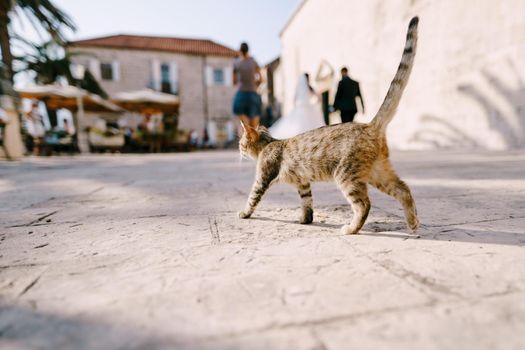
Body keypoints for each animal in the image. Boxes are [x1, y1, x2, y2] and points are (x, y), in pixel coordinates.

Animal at [239, 17, 420, 235]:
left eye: (241, 143)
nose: (238, 150)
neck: (267, 144)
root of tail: (370, 125)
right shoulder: (303, 182)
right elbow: (307, 202)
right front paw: (305, 219)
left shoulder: (262, 179)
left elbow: (252, 198)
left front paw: (244, 213)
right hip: (378, 172)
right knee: (404, 189)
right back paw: (413, 223)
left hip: (346, 175)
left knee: (364, 204)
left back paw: (351, 228)